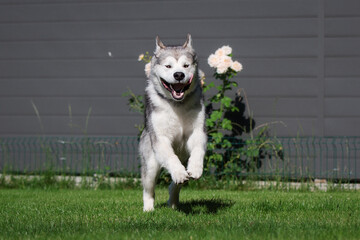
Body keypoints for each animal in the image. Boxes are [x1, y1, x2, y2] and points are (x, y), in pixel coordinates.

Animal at [139, 34, 207, 211]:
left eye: (186, 65)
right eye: (168, 66)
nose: (178, 75)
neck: (177, 105)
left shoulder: (197, 132)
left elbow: (198, 149)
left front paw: (196, 167)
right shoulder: (160, 139)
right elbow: (171, 157)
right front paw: (178, 172)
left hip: (183, 157)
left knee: (175, 186)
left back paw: (174, 202)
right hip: (150, 162)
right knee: (148, 188)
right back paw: (148, 208)